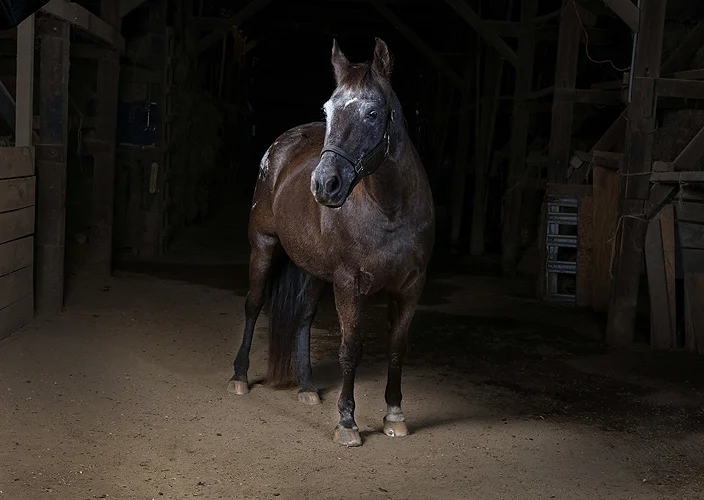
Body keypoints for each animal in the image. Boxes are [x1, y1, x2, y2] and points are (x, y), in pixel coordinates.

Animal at [227, 38, 435, 447]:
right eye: (327, 110)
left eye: (373, 112)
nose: (324, 184)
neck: (390, 212)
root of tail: (281, 146)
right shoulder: (348, 283)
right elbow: (350, 348)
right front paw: (347, 422)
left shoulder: (410, 286)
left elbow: (397, 347)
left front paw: (395, 415)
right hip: (264, 247)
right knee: (253, 304)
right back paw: (240, 377)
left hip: (312, 271)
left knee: (304, 318)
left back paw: (307, 387)